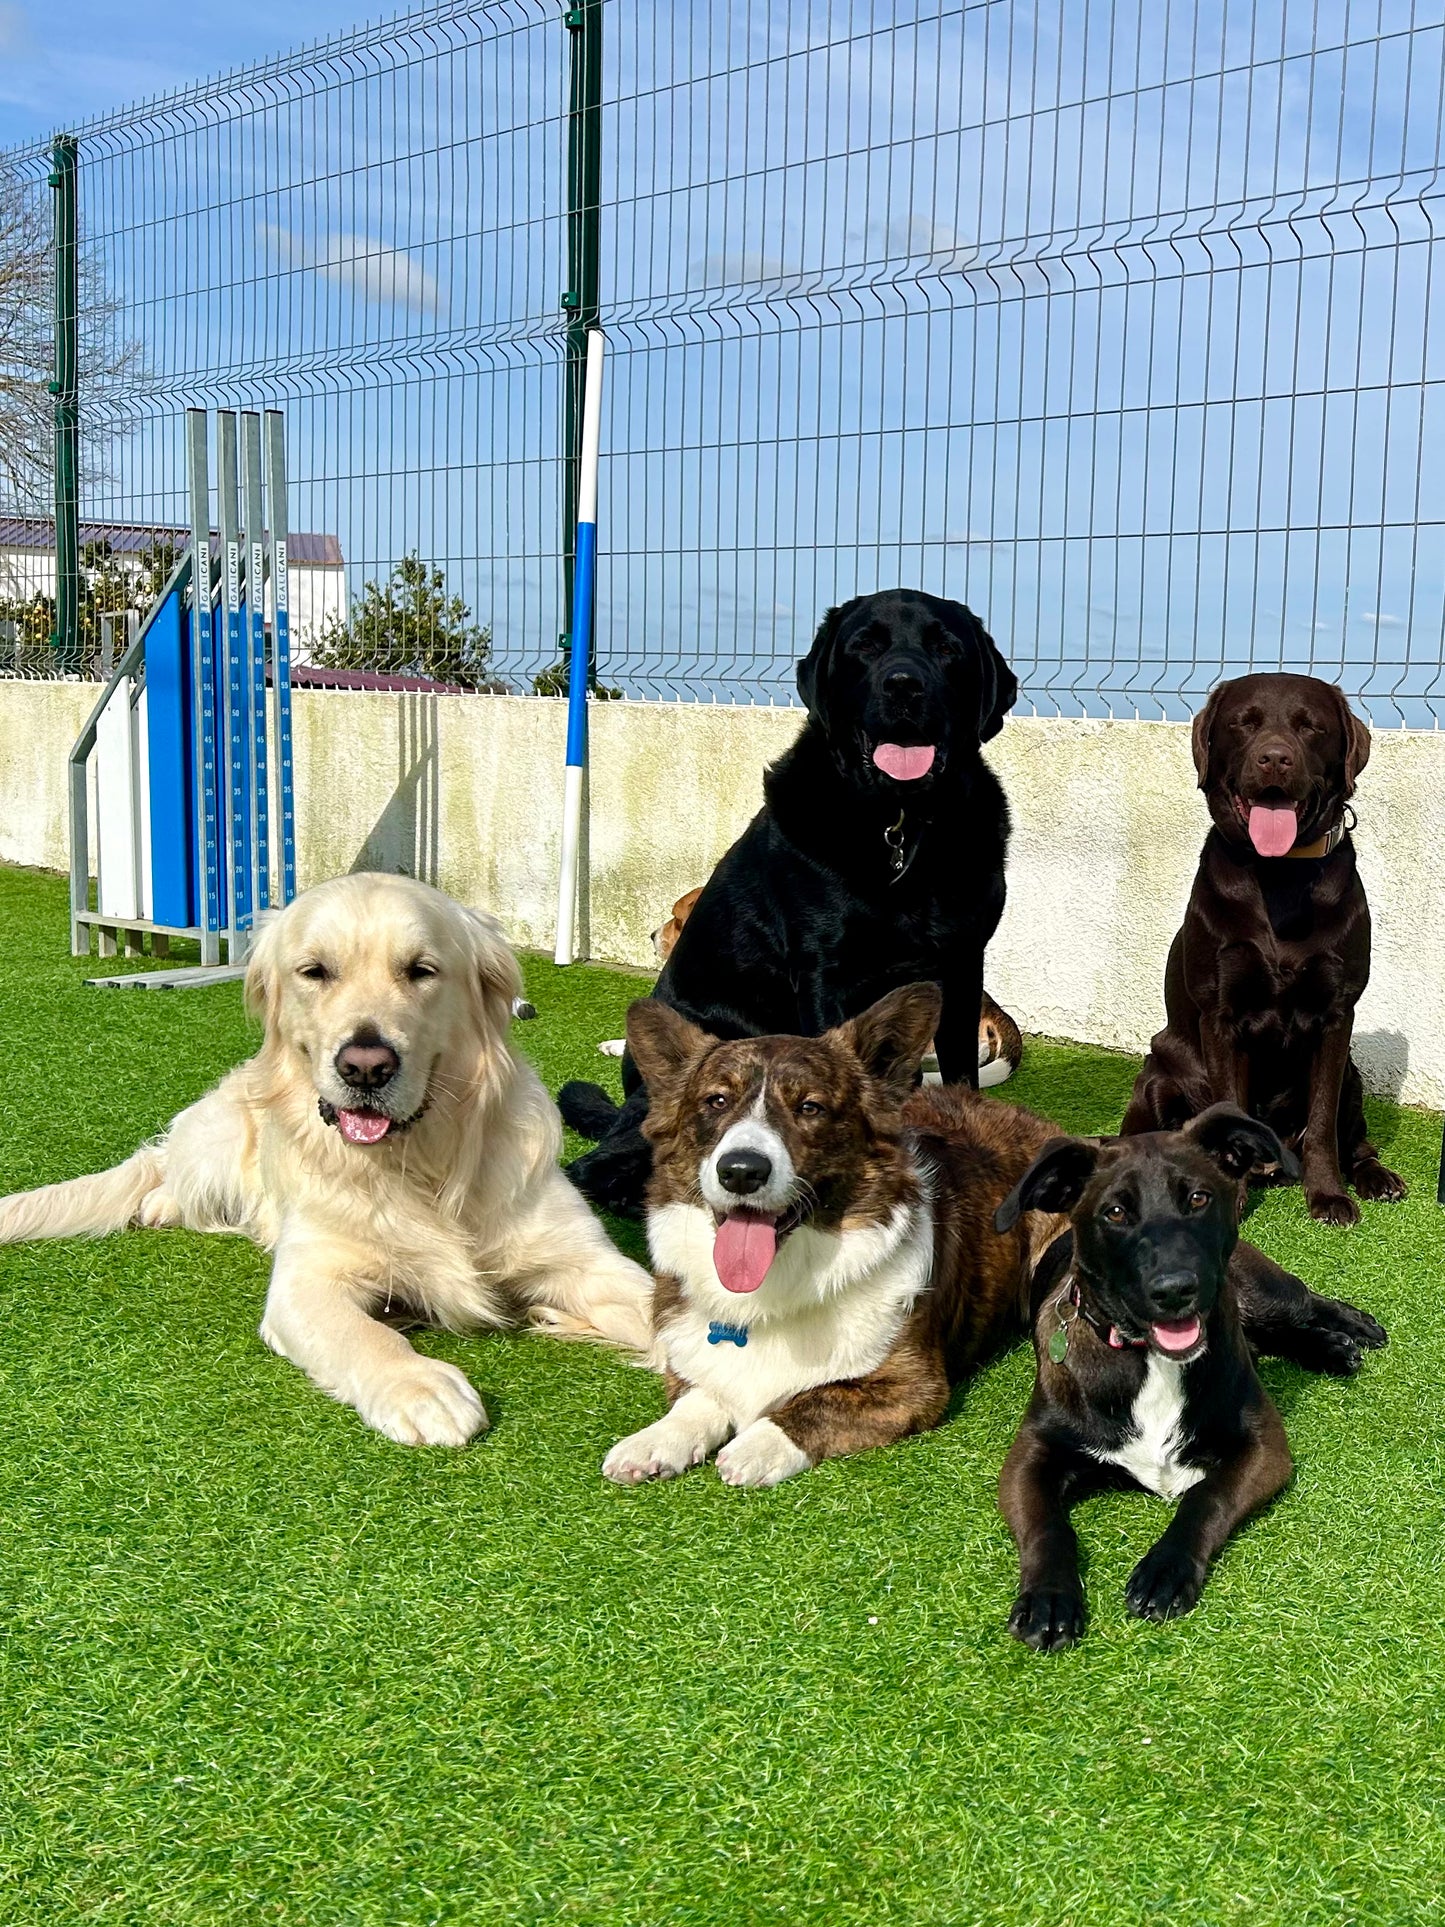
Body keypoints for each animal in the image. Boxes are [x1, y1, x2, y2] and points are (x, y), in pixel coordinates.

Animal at [0, 874, 651, 1449]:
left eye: (422, 970)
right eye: (315, 971)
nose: (365, 1066)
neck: (423, 1164)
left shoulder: (587, 1261)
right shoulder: (306, 1281)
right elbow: (361, 1335)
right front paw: (421, 1387)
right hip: (217, 1141)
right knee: (169, 1169)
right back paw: (160, 1204)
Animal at [601, 986, 1394, 1479]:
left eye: (811, 1108)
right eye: (715, 1103)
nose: (740, 1170)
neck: (783, 1284)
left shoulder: (911, 1385)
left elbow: (810, 1401)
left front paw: (758, 1446)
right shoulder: (698, 1358)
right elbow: (702, 1396)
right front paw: (652, 1443)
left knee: (1290, 1304)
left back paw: (1351, 1330)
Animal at [994, 1117, 1394, 1657]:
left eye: (1199, 1198)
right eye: (1115, 1212)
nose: (1174, 1290)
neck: (1152, 1360)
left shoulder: (1264, 1447)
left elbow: (1207, 1497)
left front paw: (1165, 1570)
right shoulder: (1029, 1458)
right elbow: (1047, 1527)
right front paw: (1049, 1598)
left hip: (1262, 1291)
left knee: (1305, 1303)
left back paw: (1351, 1327)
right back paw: (1330, 1348)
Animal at [1125, 670, 1410, 1225]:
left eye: (1310, 726)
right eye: (1244, 723)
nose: (1275, 758)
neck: (1280, 876)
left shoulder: (1336, 1017)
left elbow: (1321, 1124)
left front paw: (1328, 1195)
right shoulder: (1221, 1016)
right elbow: (1229, 1111)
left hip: (1354, 1076)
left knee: (1354, 1141)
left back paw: (1375, 1177)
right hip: (1156, 1075)